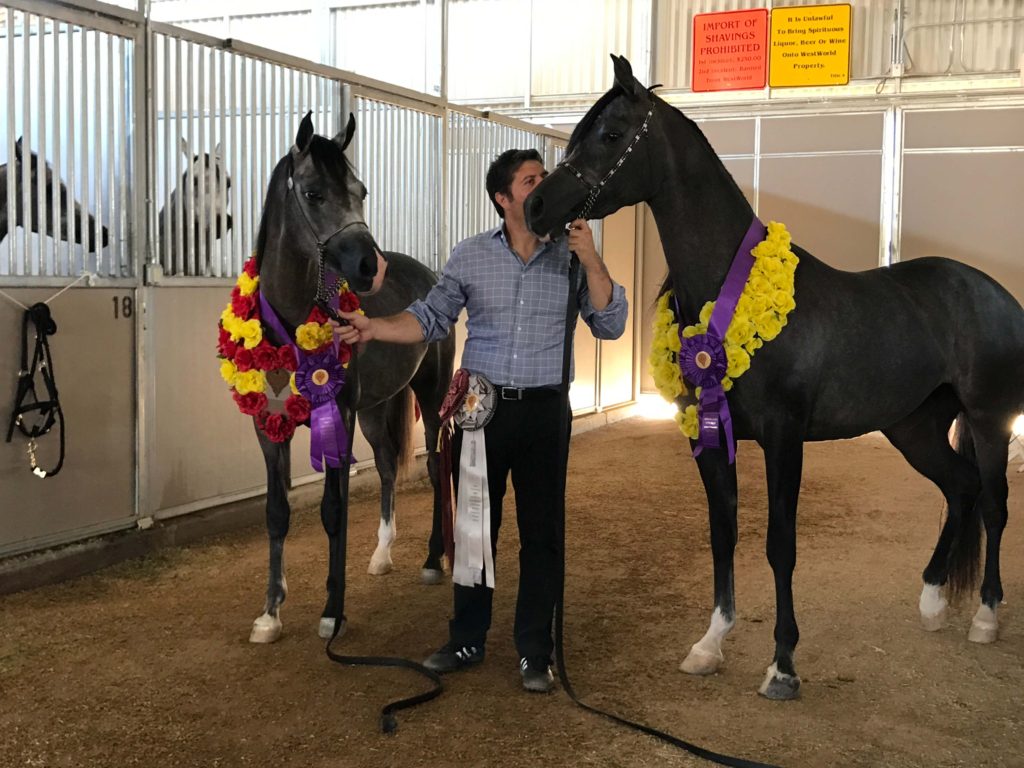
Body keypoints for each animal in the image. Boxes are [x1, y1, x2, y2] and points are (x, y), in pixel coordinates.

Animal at [524, 54, 1024, 704]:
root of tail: (993, 292)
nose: (536, 209)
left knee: (993, 502)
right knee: (960, 489)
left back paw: (985, 616)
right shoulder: (708, 436)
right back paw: (934, 603)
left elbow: (780, 546)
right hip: (913, 429)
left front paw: (782, 665)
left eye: (610, 135)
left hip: (989, 420)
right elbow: (723, 533)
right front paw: (709, 645)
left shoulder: (786, 440)